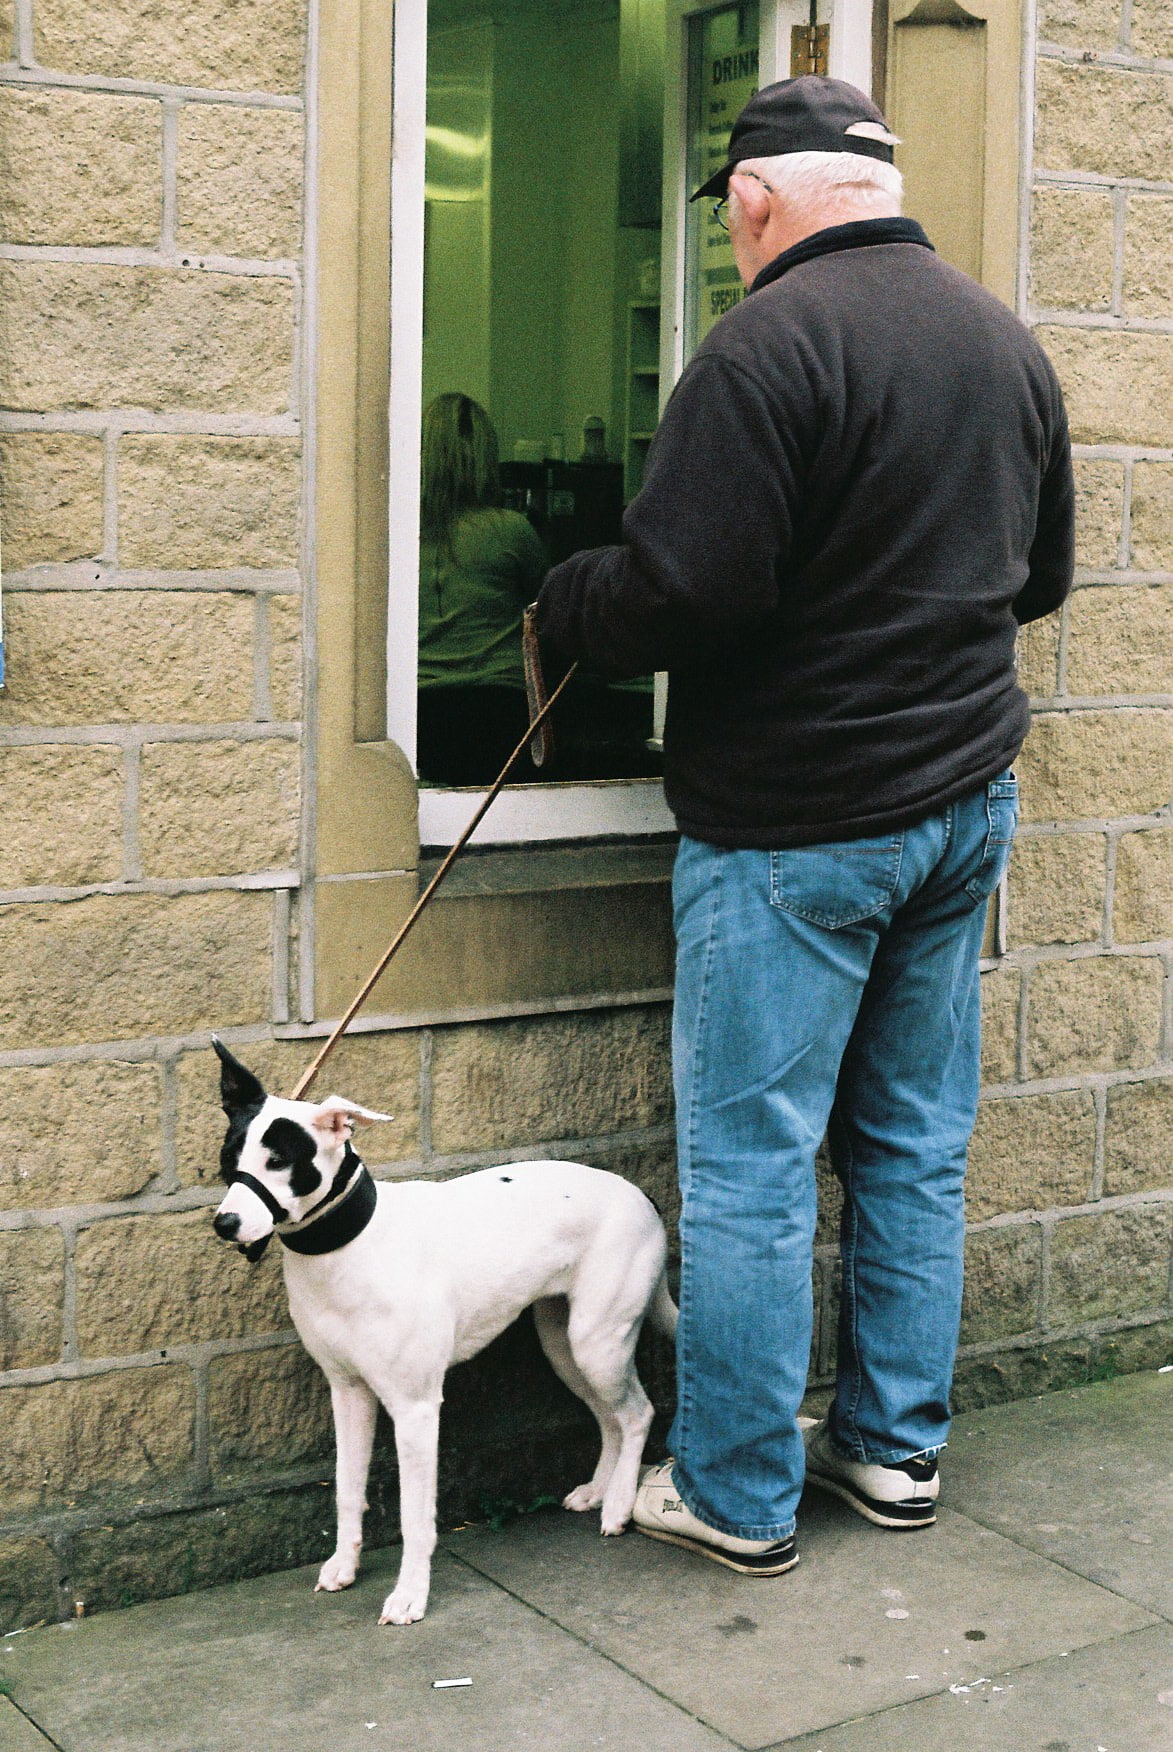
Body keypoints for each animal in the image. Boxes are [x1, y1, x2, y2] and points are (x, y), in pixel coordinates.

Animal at [206, 1037, 675, 1625]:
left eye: (278, 1162)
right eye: (229, 1161)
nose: (224, 1224)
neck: (350, 1247)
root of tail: (642, 1196)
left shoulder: (415, 1408)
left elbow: (414, 1516)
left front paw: (410, 1594)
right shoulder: (348, 1392)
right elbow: (346, 1488)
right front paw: (345, 1565)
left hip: (600, 1343)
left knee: (636, 1414)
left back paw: (617, 1506)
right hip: (565, 1346)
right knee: (609, 1418)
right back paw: (597, 1490)